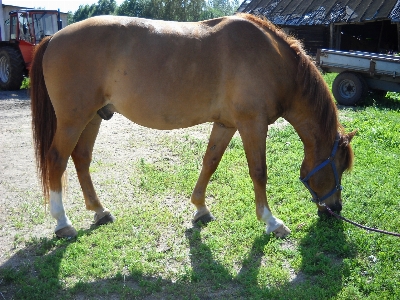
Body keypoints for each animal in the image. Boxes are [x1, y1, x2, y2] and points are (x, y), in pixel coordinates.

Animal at [29, 14, 354, 239]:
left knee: (81, 159)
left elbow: (210, 161)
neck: (272, 58)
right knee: (57, 160)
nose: (336, 209)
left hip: (94, 116)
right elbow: (259, 172)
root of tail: (54, 37)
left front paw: (200, 208)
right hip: (73, 119)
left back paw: (99, 211)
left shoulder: (225, 124)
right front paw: (271, 222)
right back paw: (63, 223)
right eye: (338, 165)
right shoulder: (252, 124)